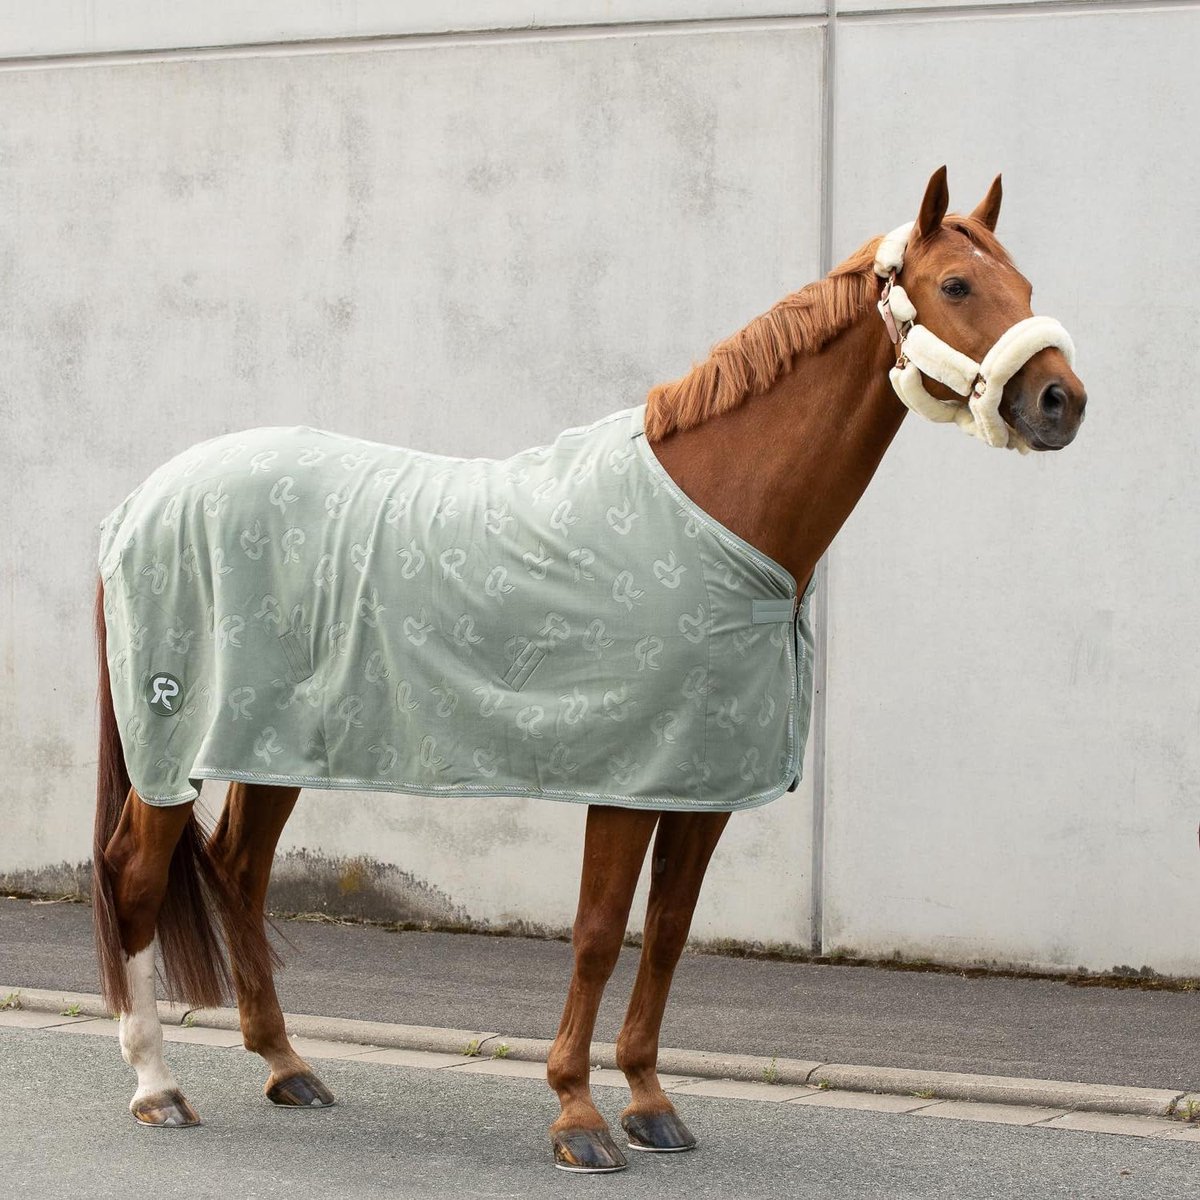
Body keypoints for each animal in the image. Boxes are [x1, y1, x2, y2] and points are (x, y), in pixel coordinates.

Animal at [91, 167, 1086, 1172]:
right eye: (957, 285)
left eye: (1025, 285)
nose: (1061, 401)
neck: (714, 512)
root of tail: (140, 501)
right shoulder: (627, 778)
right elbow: (601, 935)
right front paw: (578, 1115)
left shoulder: (701, 784)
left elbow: (669, 937)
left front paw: (651, 1103)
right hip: (171, 744)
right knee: (136, 874)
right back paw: (158, 1087)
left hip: (271, 748)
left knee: (241, 872)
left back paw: (287, 1066)